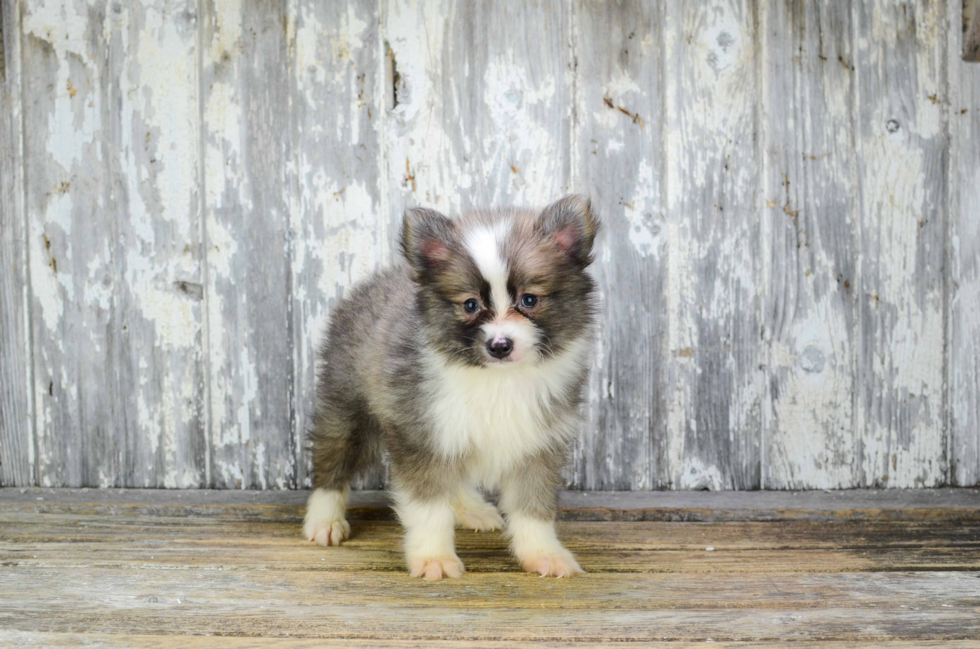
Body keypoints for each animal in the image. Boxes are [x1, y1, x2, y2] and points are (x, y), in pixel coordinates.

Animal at [302, 195, 600, 580]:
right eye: (470, 304)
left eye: (529, 300)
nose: (499, 345)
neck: (497, 379)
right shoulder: (421, 432)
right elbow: (428, 506)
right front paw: (434, 557)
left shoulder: (538, 441)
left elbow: (532, 505)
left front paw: (543, 553)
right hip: (347, 404)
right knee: (332, 457)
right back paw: (324, 518)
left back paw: (470, 508)